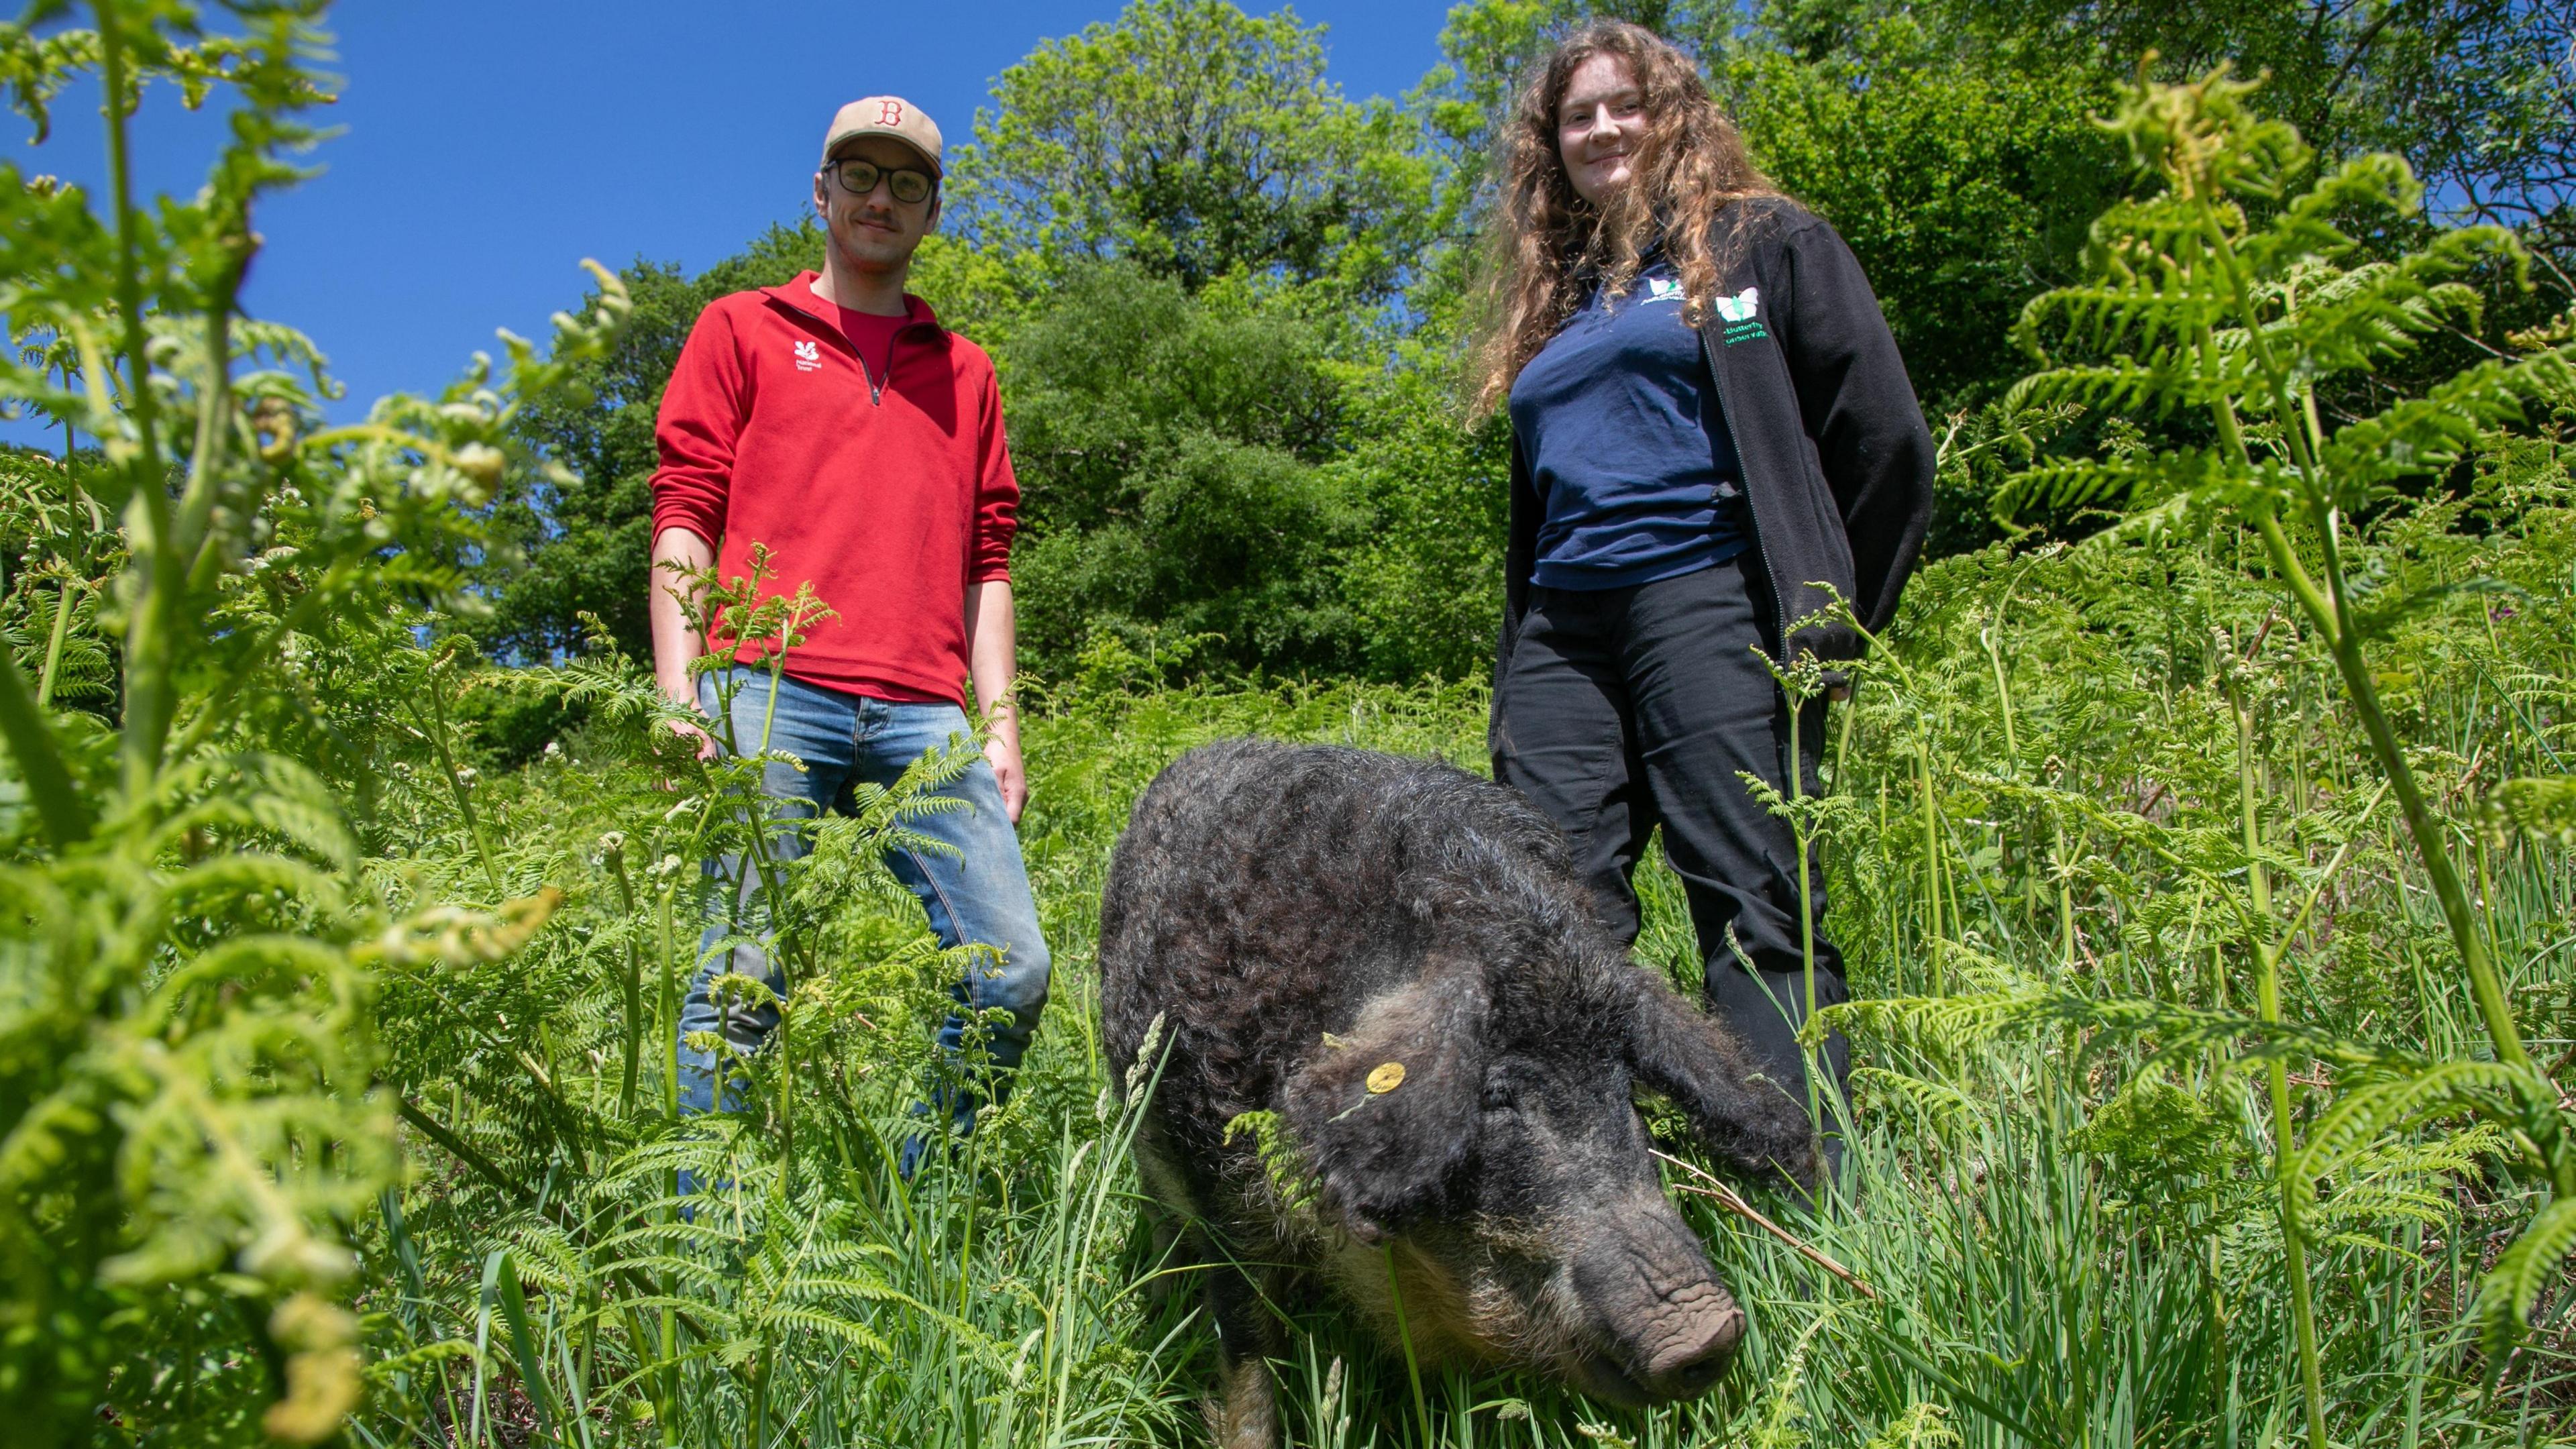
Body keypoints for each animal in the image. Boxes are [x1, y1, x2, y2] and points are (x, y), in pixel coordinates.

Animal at [1102, 737, 1813, 1433]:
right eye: (1494, 1097)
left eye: (1623, 1082)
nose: (1710, 1331)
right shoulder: (1217, 1183)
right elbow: (1248, 1367)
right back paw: (1157, 1298)